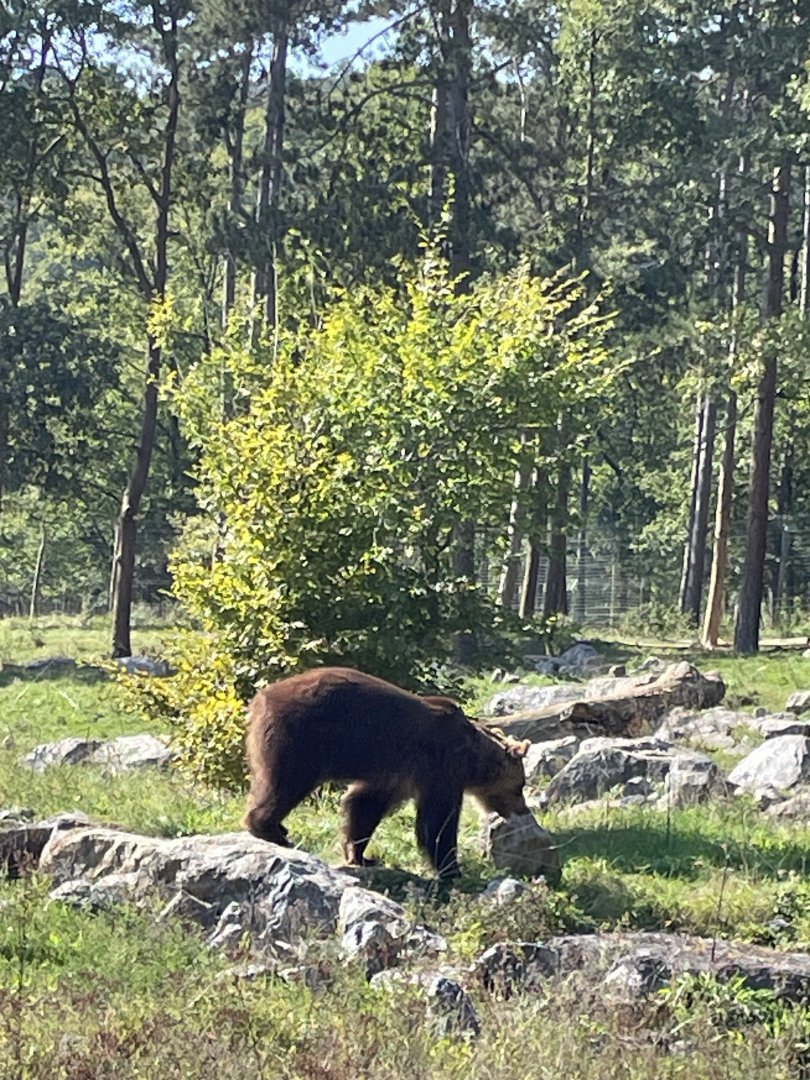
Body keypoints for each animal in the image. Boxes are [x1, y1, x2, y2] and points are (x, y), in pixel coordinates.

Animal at [244, 666, 531, 878]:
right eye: (520, 786)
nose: (523, 810)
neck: (472, 758)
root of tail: (261, 698)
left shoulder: (395, 773)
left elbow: (364, 804)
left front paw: (361, 855)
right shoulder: (439, 766)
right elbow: (437, 821)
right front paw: (452, 868)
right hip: (303, 737)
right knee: (286, 782)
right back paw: (270, 829)